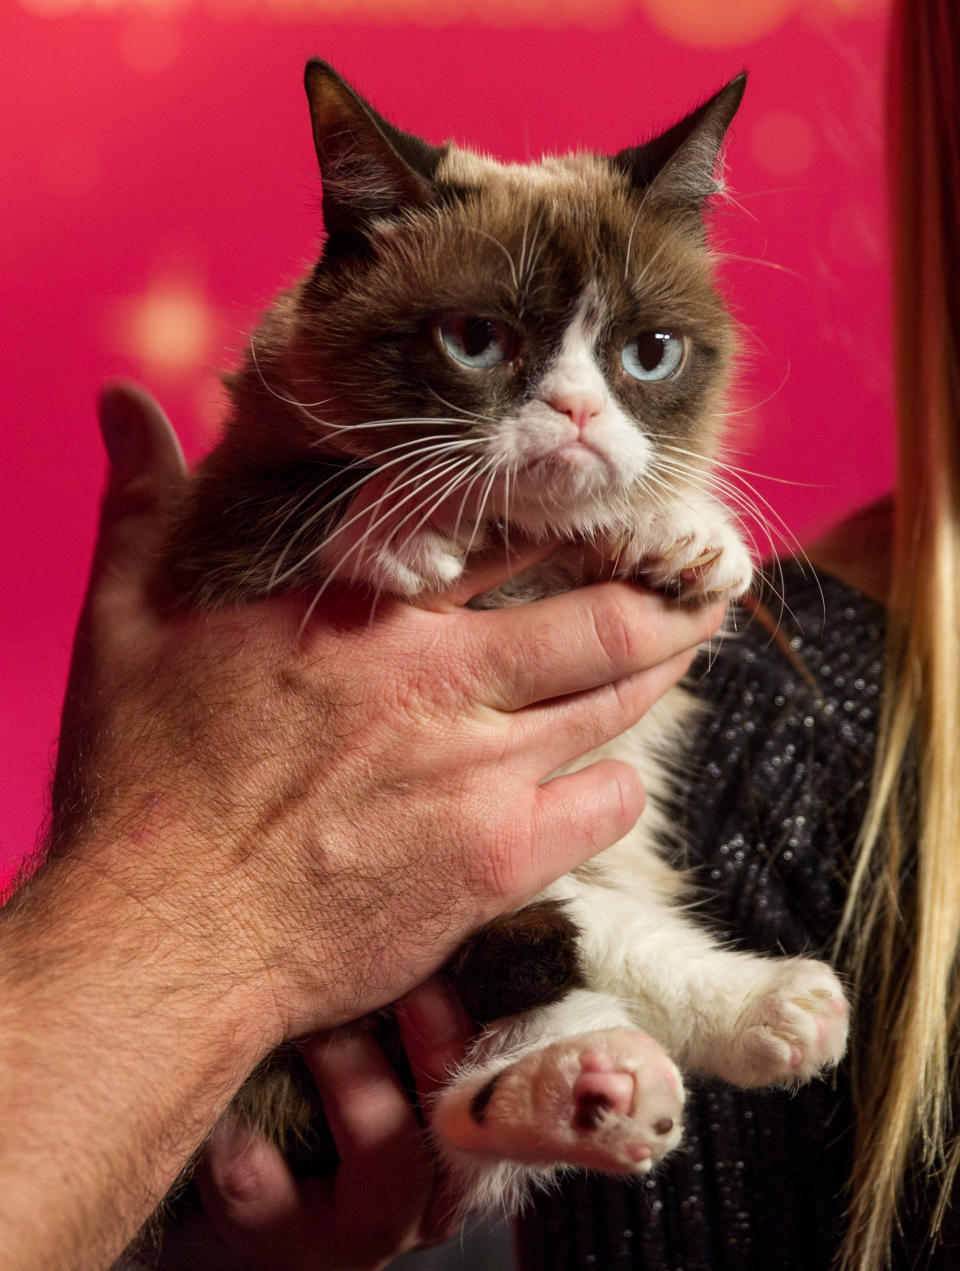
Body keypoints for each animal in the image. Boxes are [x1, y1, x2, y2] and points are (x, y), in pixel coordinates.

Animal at [162, 59, 849, 1220]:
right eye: (474, 340)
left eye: (648, 354)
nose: (576, 412)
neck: (518, 552)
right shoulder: (212, 533)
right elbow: (304, 495)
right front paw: (397, 523)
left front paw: (685, 532)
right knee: (509, 986)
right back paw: (576, 1083)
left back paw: (747, 1018)